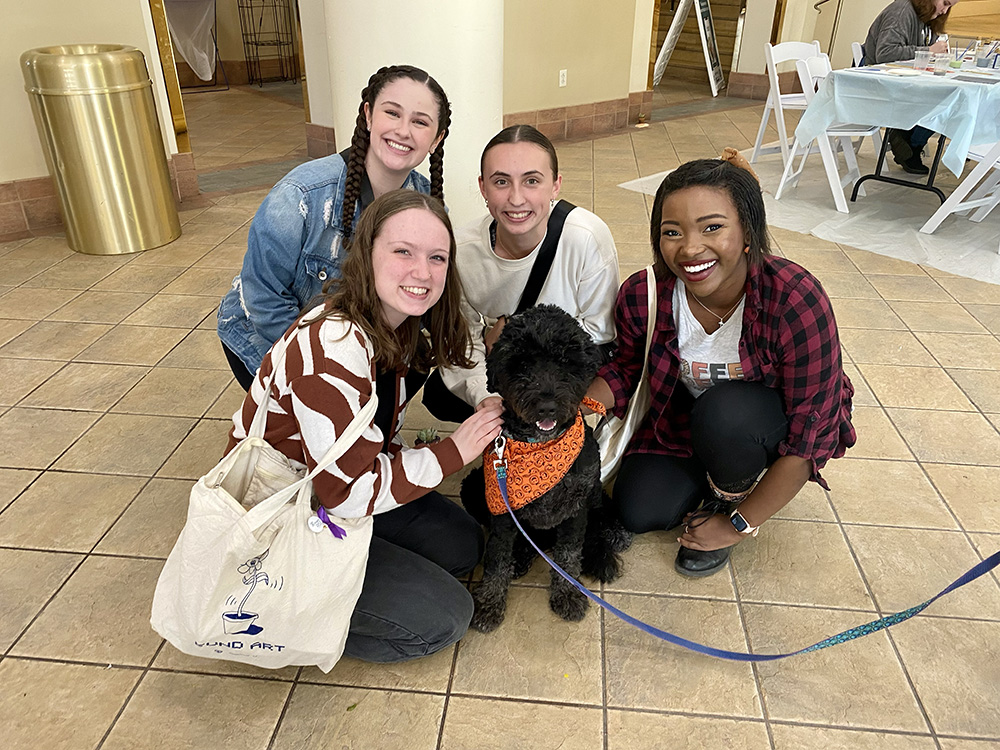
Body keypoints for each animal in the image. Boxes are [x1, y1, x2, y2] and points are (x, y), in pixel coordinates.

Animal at [462, 306, 632, 636]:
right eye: (522, 363)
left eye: (566, 361)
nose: (547, 407)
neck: (541, 448)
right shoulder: (502, 512)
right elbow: (497, 559)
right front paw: (489, 603)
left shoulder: (576, 507)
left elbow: (569, 555)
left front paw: (568, 594)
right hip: (474, 487)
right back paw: (522, 556)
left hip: (594, 495)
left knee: (599, 519)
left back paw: (612, 535)